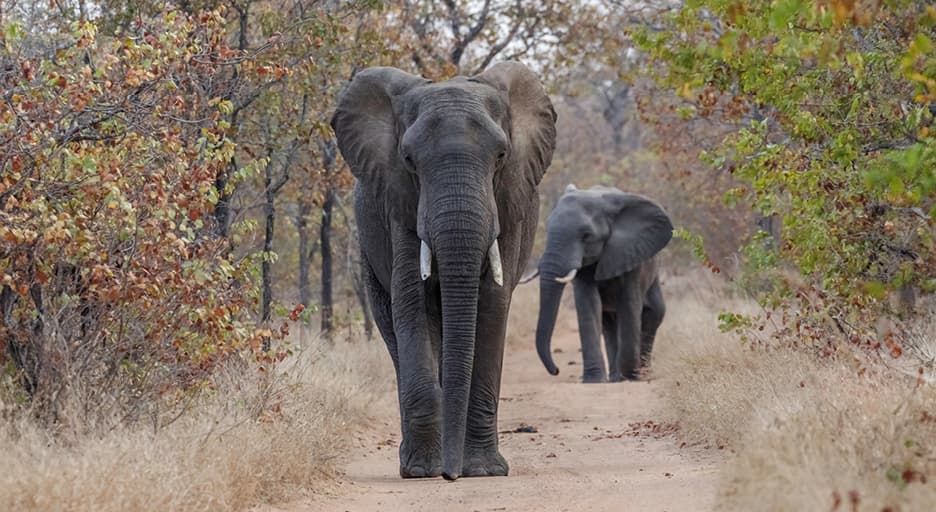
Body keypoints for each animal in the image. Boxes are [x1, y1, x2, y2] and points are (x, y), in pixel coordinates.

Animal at [331, 62, 557, 480]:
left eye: (501, 155)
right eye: (407, 159)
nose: (452, 476)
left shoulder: (509, 206)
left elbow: (492, 305)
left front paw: (483, 471)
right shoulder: (400, 205)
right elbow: (413, 304)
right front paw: (423, 471)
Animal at [525, 184, 673, 383]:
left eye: (586, 236)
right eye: (548, 230)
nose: (556, 370)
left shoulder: (631, 254)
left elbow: (629, 305)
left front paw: (631, 375)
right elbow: (588, 305)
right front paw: (594, 380)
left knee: (653, 314)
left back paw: (639, 374)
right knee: (608, 324)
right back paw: (616, 377)